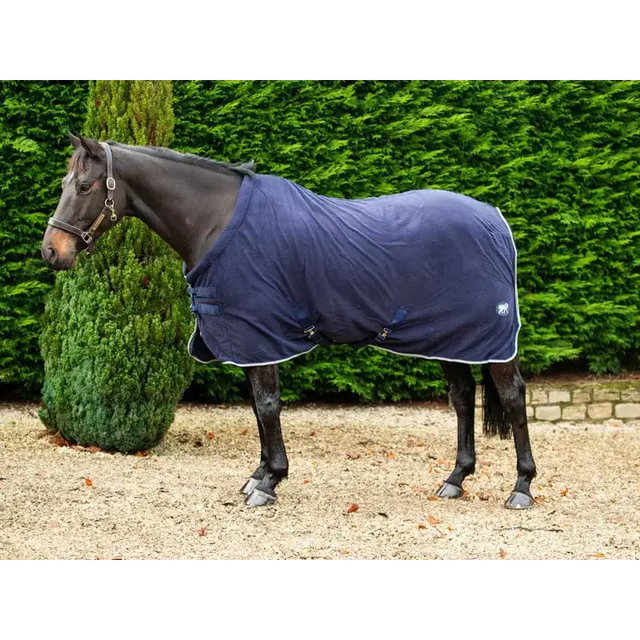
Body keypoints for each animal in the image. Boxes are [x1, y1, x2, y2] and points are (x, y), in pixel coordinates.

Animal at [42, 134, 537, 510]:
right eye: (66, 182)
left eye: (84, 185)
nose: (51, 252)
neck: (217, 221)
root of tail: (496, 220)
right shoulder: (246, 339)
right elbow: (258, 409)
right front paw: (258, 474)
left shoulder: (260, 336)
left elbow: (266, 406)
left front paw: (269, 482)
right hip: (452, 339)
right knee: (462, 398)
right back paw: (455, 479)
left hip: (490, 341)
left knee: (513, 397)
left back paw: (521, 488)